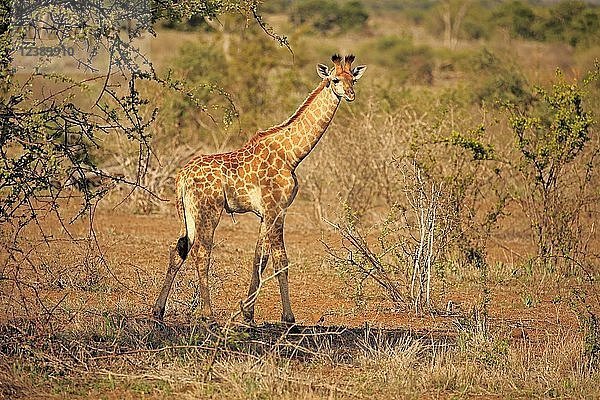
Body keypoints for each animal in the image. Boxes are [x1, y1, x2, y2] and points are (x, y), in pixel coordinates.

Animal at [151, 53, 366, 324]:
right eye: (335, 79)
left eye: (353, 80)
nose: (350, 94)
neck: (292, 155)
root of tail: (181, 177)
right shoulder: (277, 208)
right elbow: (280, 260)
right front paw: (289, 318)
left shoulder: (265, 213)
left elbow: (259, 258)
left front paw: (248, 313)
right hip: (208, 211)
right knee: (201, 252)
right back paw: (207, 314)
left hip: (187, 214)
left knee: (177, 249)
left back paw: (158, 311)